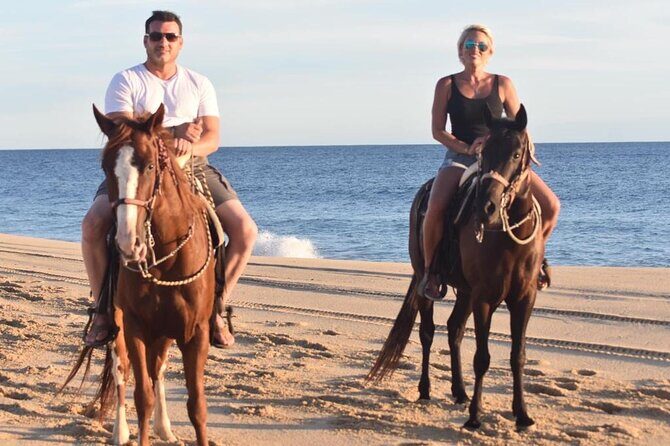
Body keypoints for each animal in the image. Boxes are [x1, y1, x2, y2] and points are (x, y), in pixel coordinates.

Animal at [65, 104, 217, 445]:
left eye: (149, 166)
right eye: (105, 167)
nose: (127, 243)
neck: (166, 258)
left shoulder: (195, 332)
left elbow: (197, 405)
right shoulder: (135, 326)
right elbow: (141, 396)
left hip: (164, 332)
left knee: (157, 369)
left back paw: (165, 428)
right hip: (118, 324)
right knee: (121, 369)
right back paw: (121, 432)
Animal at [368, 105, 543, 430]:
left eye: (516, 154)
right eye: (483, 152)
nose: (486, 207)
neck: (506, 235)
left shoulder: (524, 298)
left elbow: (518, 355)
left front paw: (522, 414)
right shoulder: (485, 297)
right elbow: (482, 357)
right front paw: (475, 417)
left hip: (465, 292)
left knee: (454, 330)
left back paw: (460, 391)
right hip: (427, 281)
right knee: (427, 331)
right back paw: (425, 390)